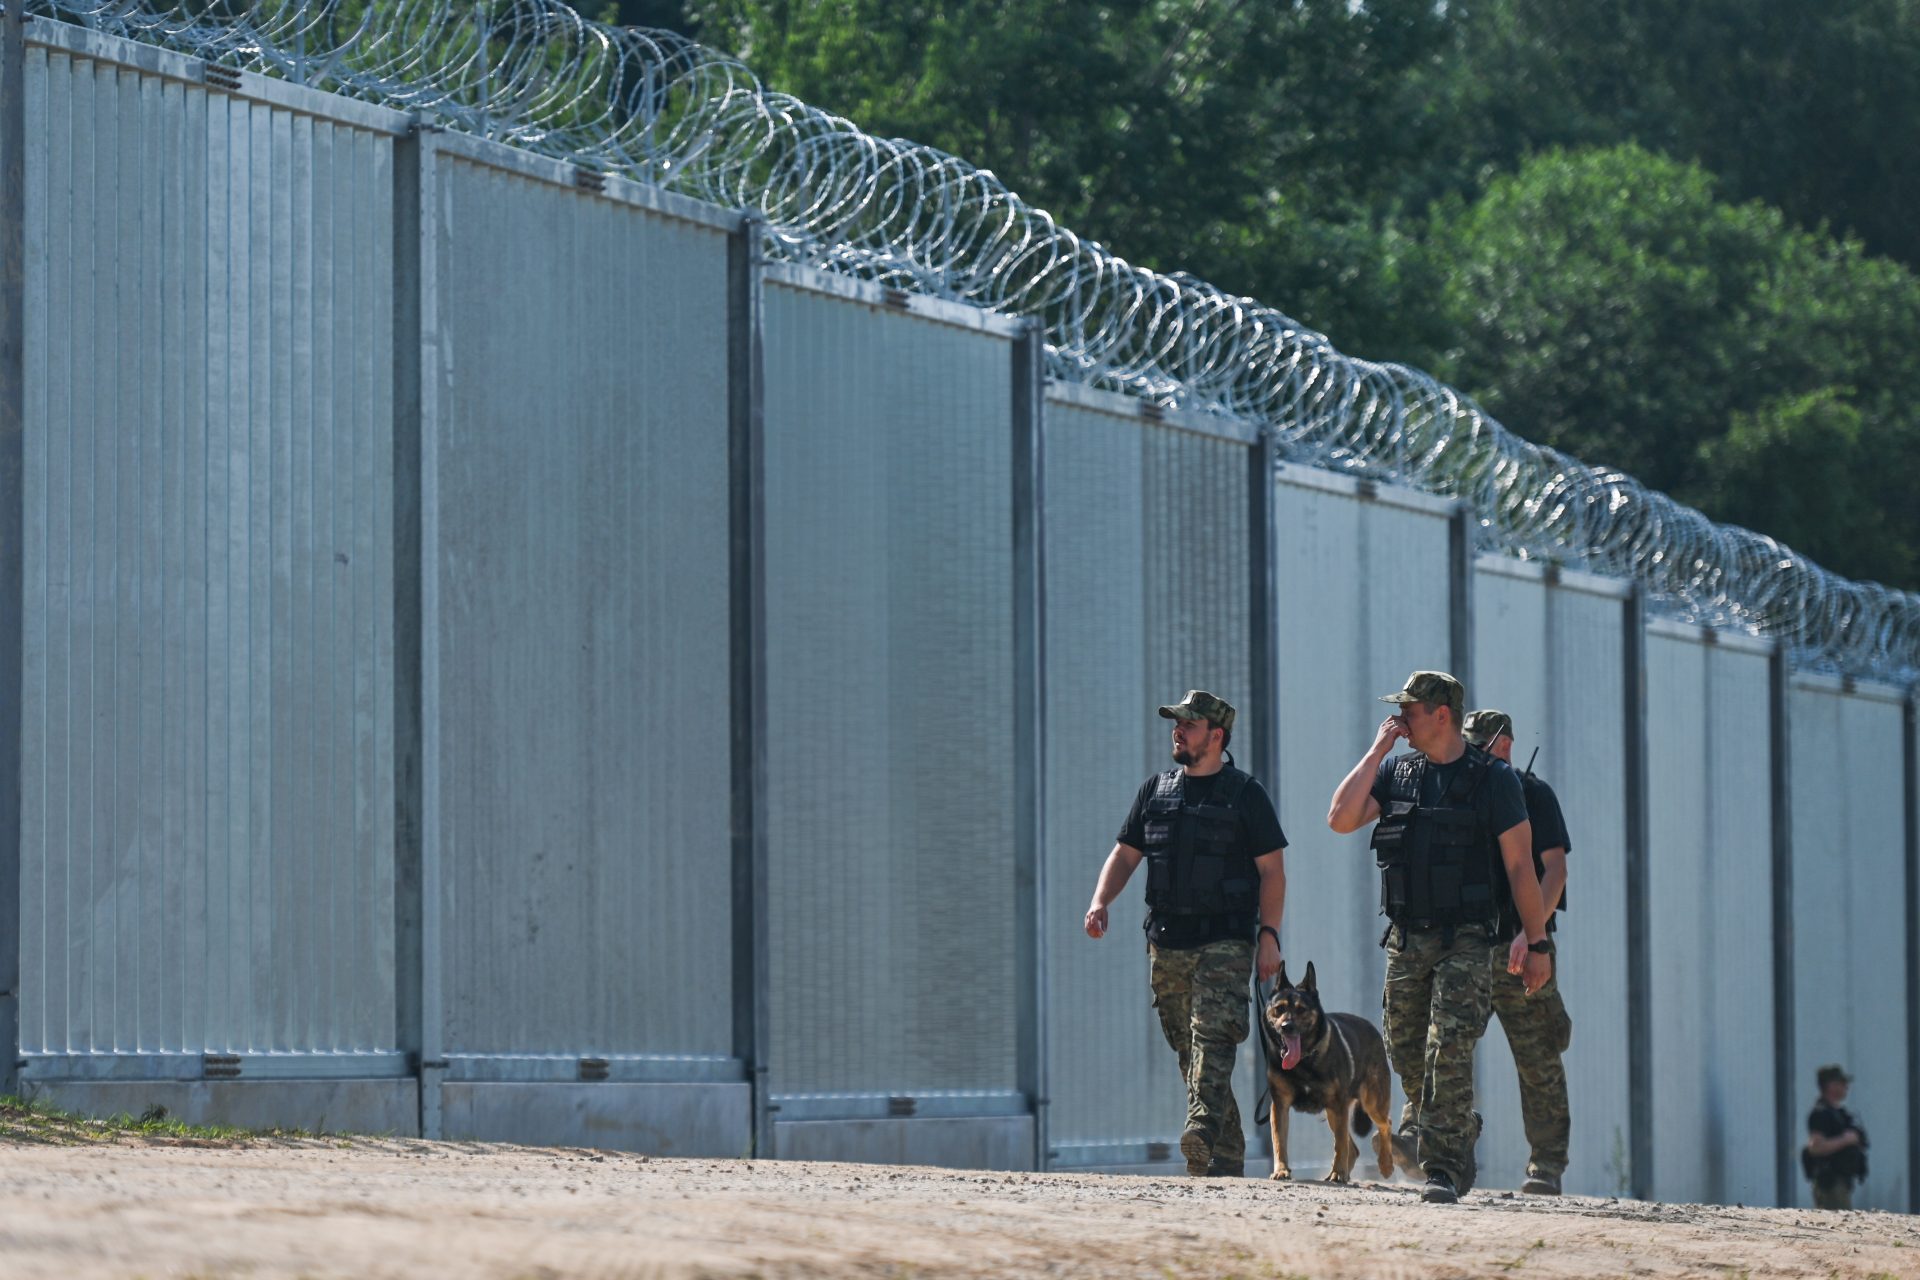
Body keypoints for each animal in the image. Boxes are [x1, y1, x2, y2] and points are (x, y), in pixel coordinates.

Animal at [1259, 959, 1397, 1182]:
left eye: (1301, 1010)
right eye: (1279, 1009)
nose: (1286, 1026)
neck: (1304, 1061)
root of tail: (1372, 1028)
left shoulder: (1337, 1104)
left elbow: (1340, 1145)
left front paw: (1338, 1173)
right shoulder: (1280, 1105)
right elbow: (1279, 1141)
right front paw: (1281, 1170)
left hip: (1371, 1102)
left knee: (1385, 1124)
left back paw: (1385, 1164)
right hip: (1335, 1113)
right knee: (1353, 1148)